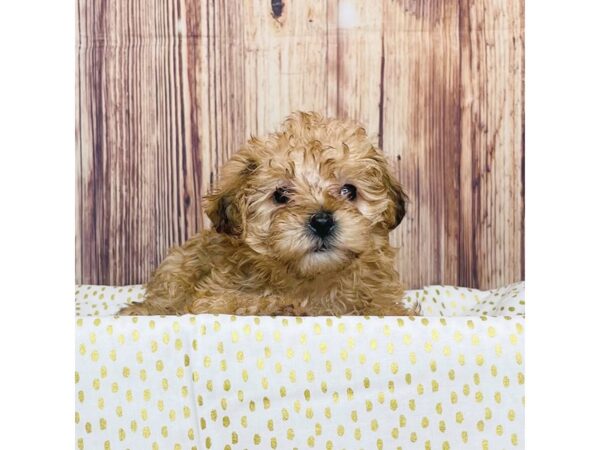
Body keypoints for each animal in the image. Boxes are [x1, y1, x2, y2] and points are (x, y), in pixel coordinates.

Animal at [119, 112, 414, 316]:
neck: (312, 280)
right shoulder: (214, 299)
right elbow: (249, 302)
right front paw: (282, 306)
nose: (321, 221)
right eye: (281, 196)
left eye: (349, 191)